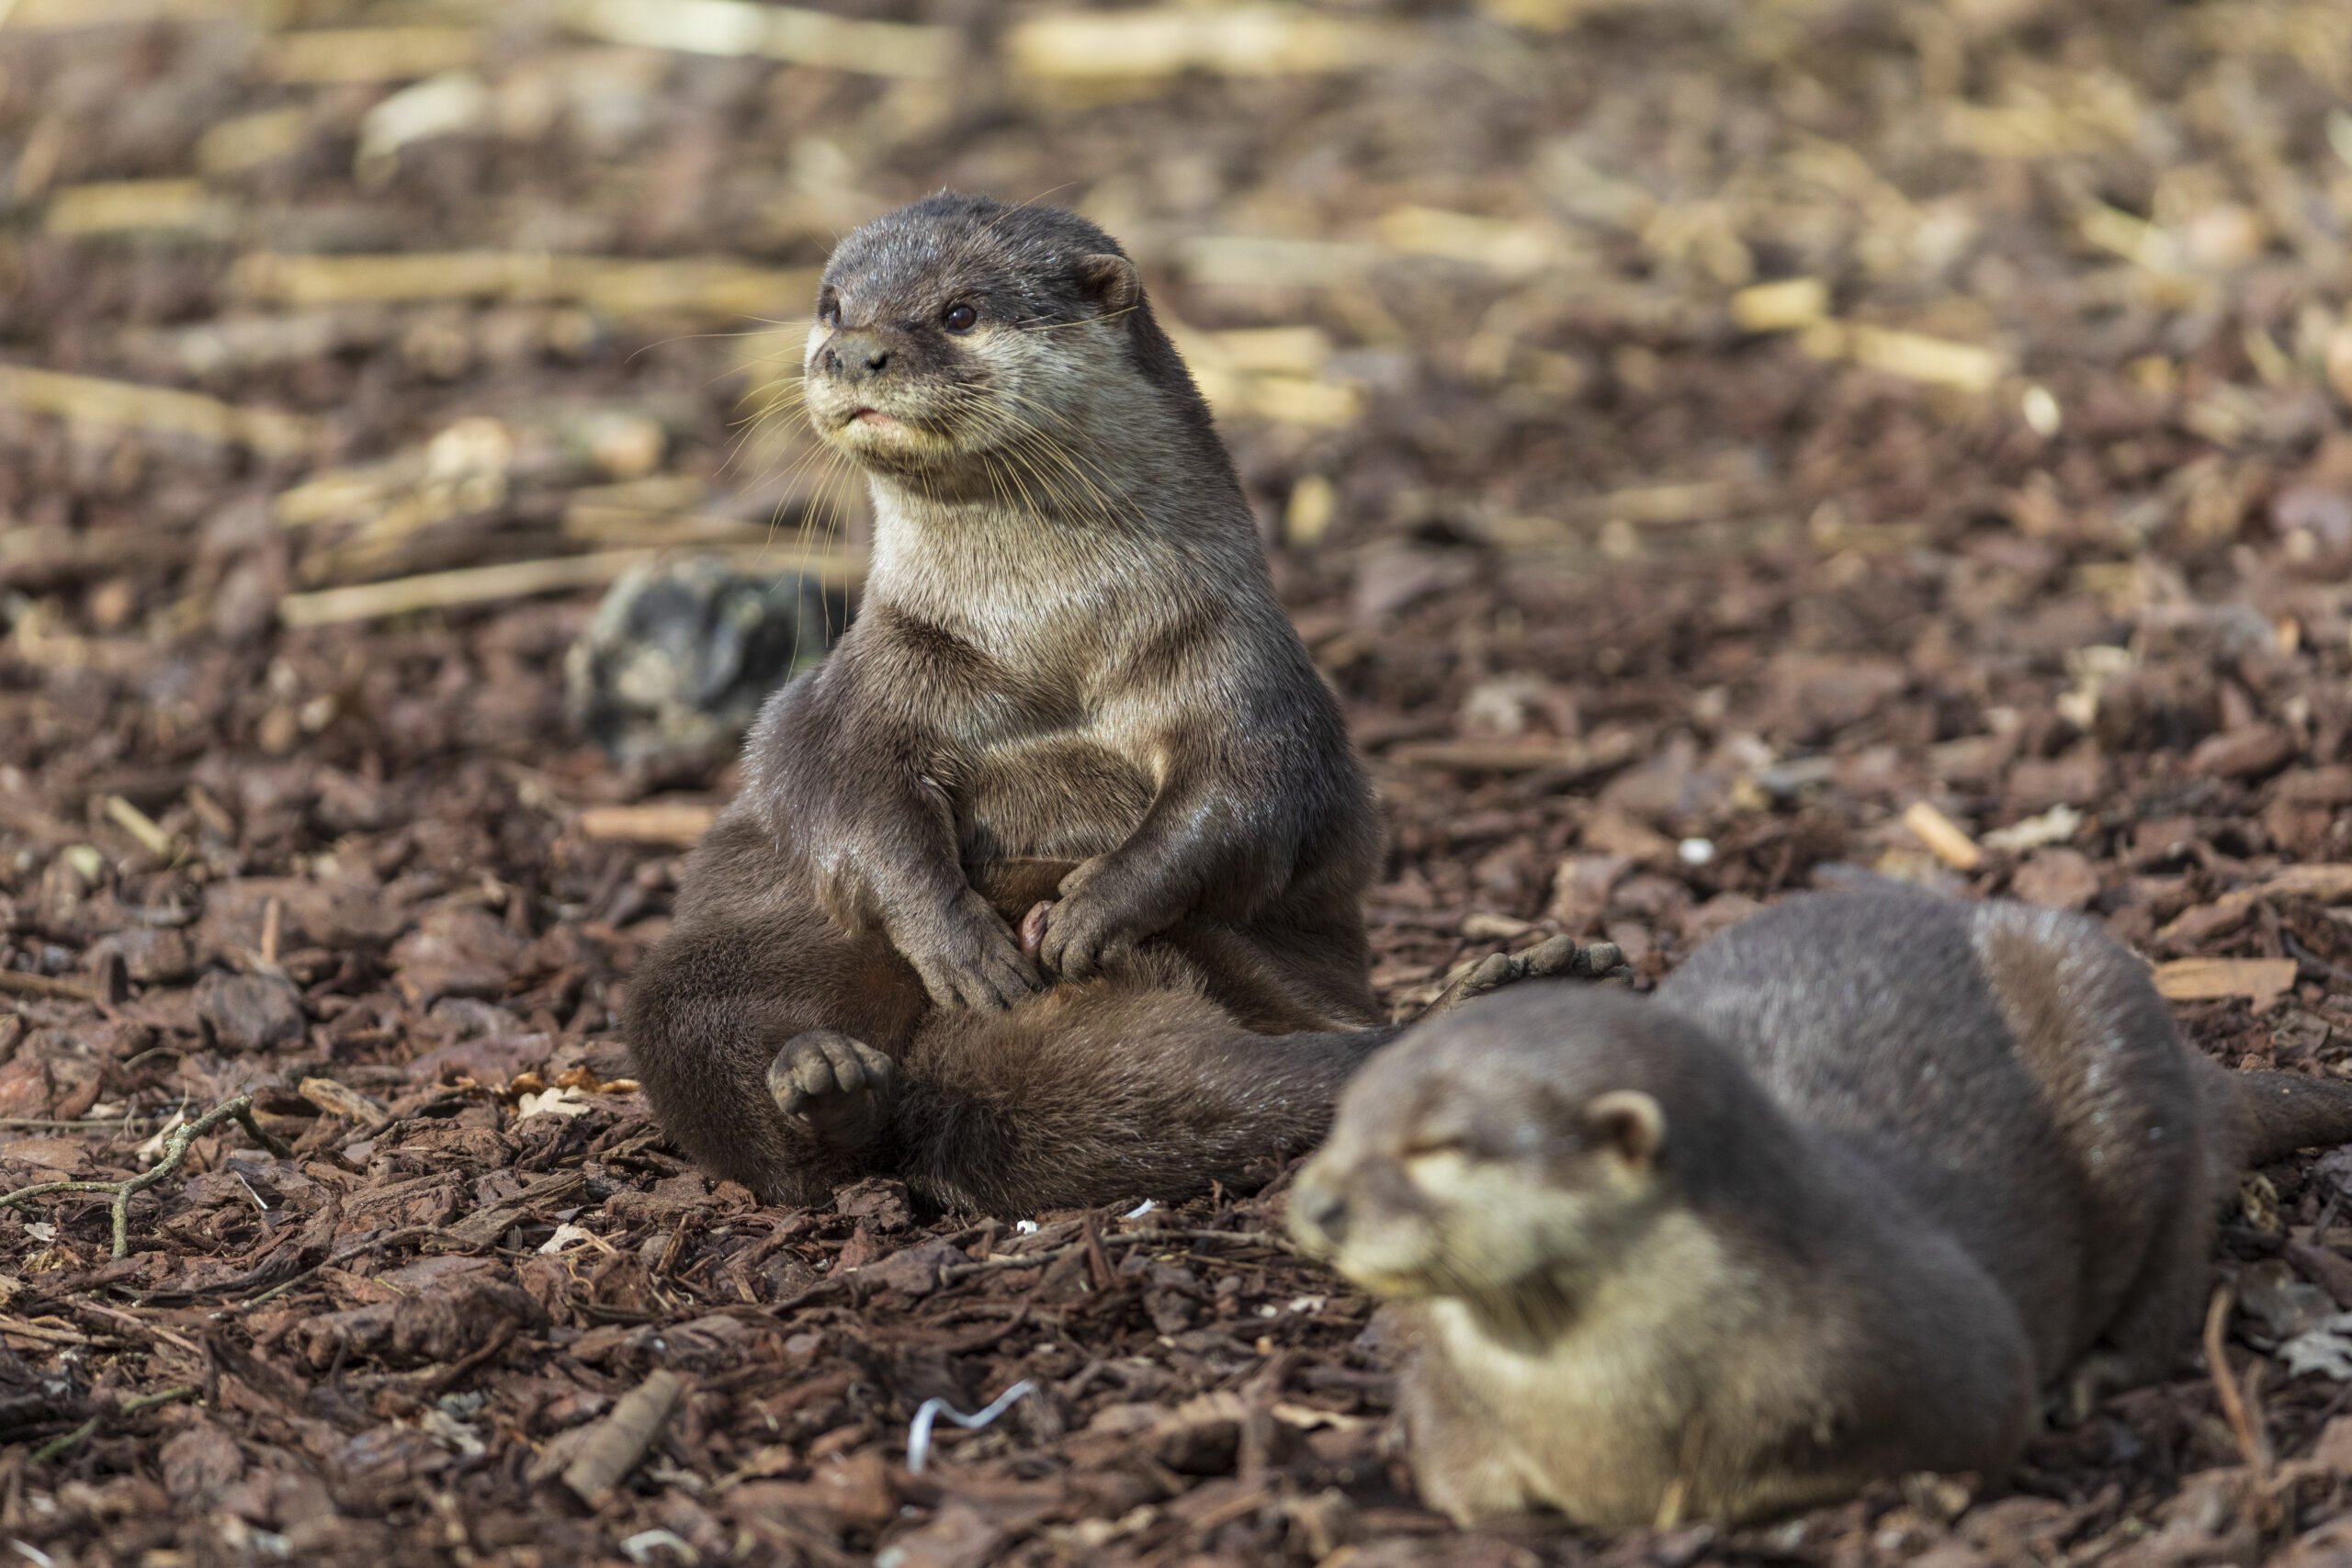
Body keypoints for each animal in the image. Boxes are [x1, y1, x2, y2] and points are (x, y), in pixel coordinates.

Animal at [1288, 888, 2352, 1523]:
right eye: (1346, 1118)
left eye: (1442, 1145)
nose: (1316, 1202)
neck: (1613, 1424)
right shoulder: (1446, 1387)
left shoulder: (1943, 1349)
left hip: (2121, 1051)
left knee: (2172, 1258)